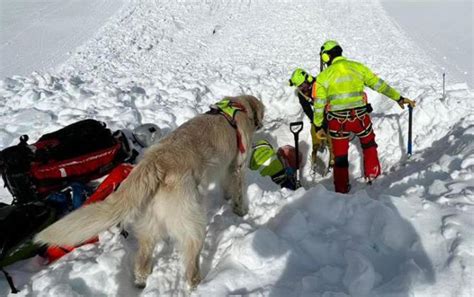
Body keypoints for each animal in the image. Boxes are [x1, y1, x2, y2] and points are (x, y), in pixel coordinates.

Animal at [35, 94, 264, 286]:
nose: (261, 124)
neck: (238, 108)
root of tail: (154, 164)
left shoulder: (227, 168)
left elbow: (227, 185)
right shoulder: (238, 165)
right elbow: (238, 191)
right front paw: (241, 211)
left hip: (150, 223)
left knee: (143, 260)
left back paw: (140, 281)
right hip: (192, 223)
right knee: (190, 262)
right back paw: (199, 284)